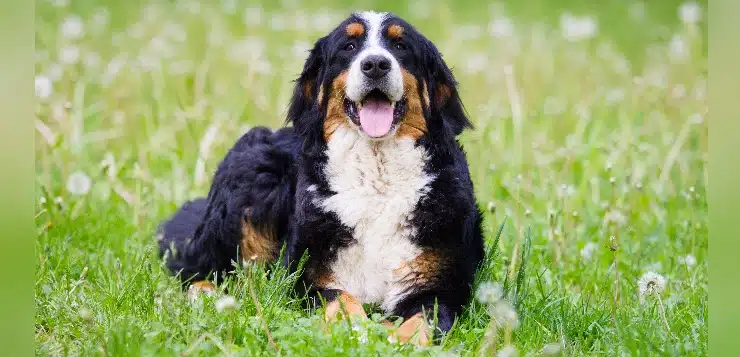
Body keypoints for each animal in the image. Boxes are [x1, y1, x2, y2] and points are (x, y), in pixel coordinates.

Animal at [158, 10, 482, 344]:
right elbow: (339, 299)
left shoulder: (438, 285)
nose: (376, 64)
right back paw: (207, 296)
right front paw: (357, 329)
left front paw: (395, 339)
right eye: (349, 46)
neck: (376, 178)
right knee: (197, 270)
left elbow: (423, 321)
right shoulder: (304, 277)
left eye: (400, 45)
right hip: (251, 176)